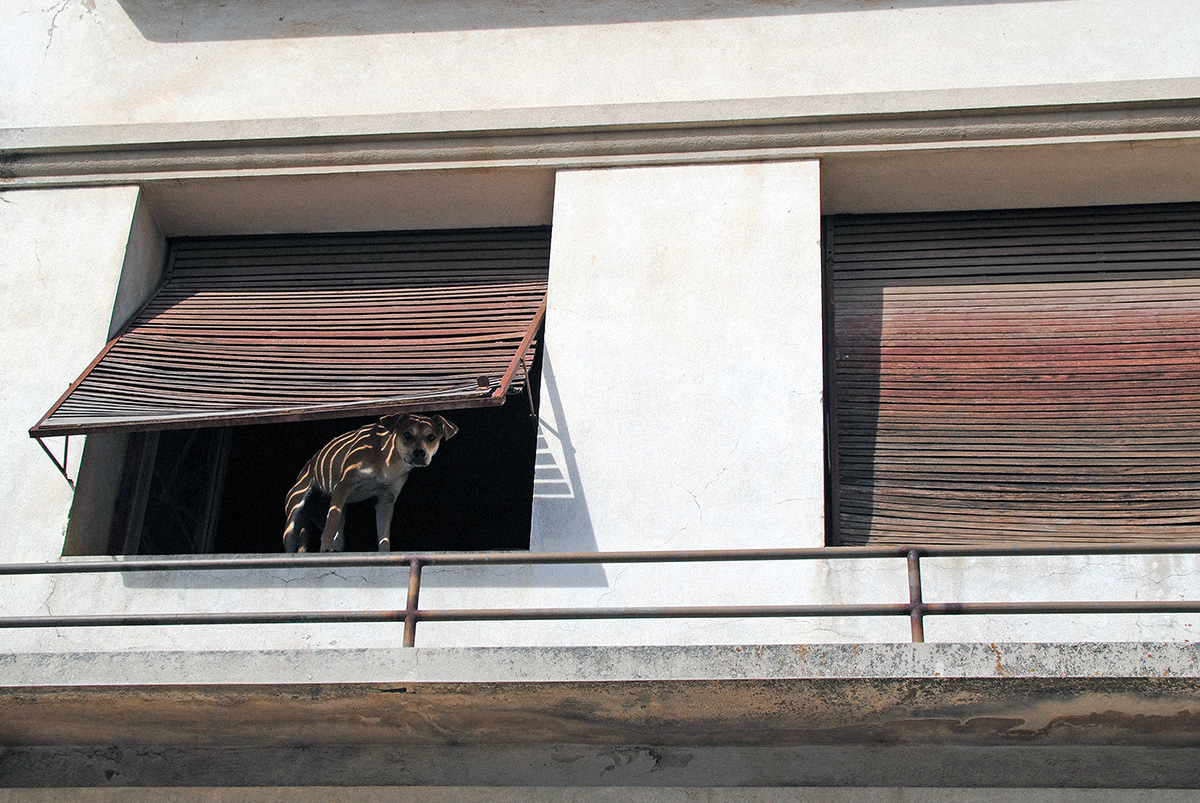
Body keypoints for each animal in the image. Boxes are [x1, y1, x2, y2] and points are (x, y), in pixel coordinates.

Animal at [280, 412, 458, 552]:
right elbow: (332, 519)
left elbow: (384, 534)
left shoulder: (387, 499)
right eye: (407, 434)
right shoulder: (343, 486)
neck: (389, 461)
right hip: (292, 525)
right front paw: (325, 548)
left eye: (431, 437)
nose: (419, 453)